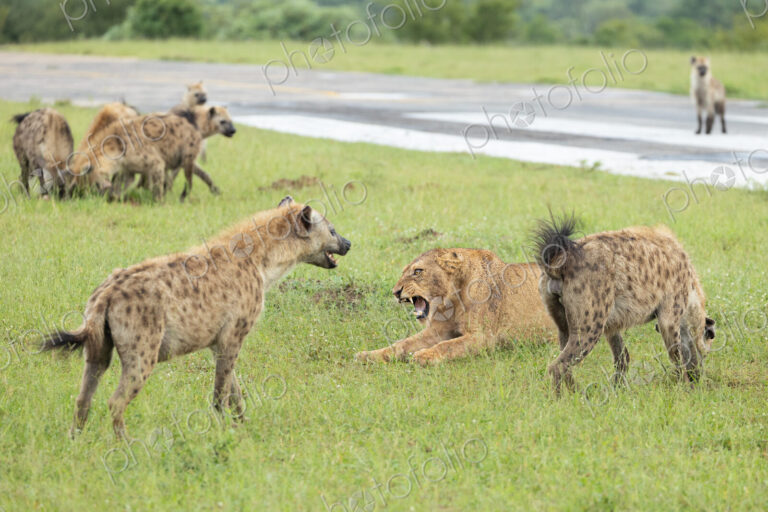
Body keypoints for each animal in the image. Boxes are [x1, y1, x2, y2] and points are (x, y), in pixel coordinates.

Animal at [355, 248, 555, 366]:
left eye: (418, 271)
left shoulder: (483, 337)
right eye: (404, 272)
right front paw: (367, 355)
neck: (452, 299)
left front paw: (423, 356)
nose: (395, 292)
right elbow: (402, 344)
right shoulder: (438, 330)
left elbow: (447, 346)